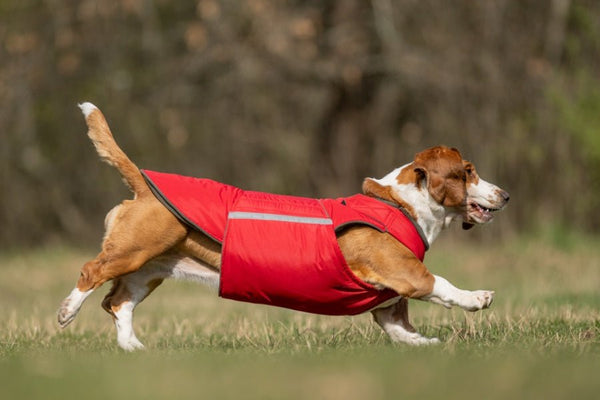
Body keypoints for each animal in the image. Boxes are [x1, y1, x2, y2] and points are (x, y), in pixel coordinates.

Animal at [56, 103, 508, 350]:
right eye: (468, 171)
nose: (505, 196)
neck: (401, 204)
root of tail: (143, 184)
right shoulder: (407, 275)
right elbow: (442, 285)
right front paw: (478, 298)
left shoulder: (389, 302)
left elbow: (398, 330)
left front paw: (425, 344)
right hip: (132, 252)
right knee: (91, 273)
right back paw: (67, 312)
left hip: (149, 270)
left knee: (118, 303)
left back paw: (133, 347)